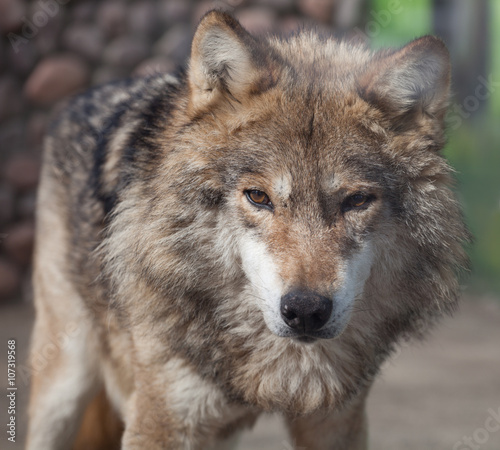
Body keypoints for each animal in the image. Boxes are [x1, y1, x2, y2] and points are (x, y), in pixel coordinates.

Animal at [25, 10, 470, 450]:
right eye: (258, 197)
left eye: (357, 201)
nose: (306, 311)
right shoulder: (162, 418)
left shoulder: (337, 420)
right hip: (63, 384)